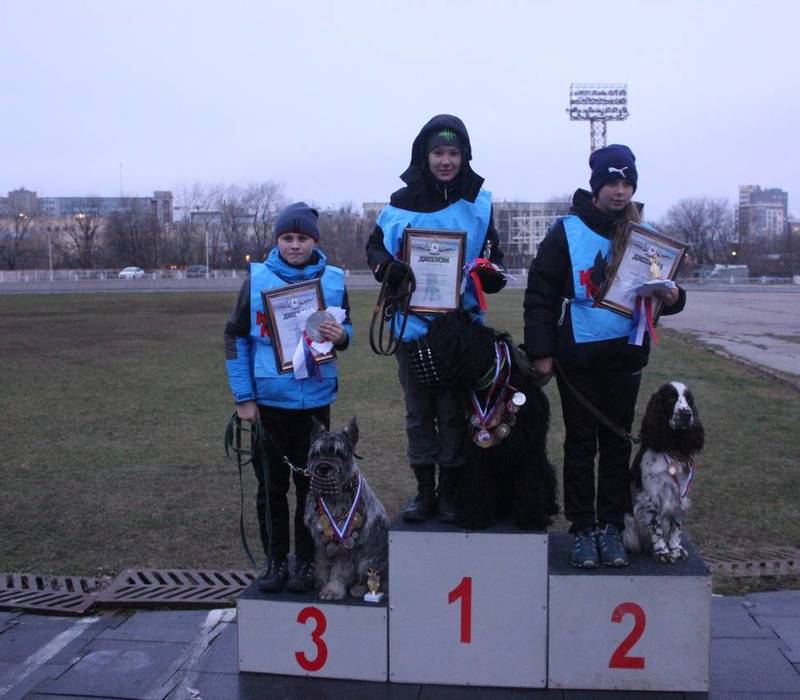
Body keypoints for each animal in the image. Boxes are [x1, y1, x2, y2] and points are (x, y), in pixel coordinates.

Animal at [304, 416, 390, 600]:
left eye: (338, 452)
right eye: (317, 452)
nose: (323, 468)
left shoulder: (346, 544)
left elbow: (340, 570)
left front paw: (332, 590)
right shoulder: (322, 538)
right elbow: (322, 562)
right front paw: (320, 582)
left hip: (368, 562)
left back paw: (359, 589)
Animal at [422, 312, 560, 532]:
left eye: (436, 334)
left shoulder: (530, 445)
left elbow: (530, 477)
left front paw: (531, 518)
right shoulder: (478, 442)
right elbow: (479, 478)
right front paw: (476, 515)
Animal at [620, 382, 704, 564]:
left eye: (689, 399)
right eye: (671, 398)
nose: (687, 414)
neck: (673, 445)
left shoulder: (680, 494)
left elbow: (676, 526)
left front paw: (676, 549)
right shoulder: (652, 497)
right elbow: (655, 526)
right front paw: (662, 552)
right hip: (628, 523)